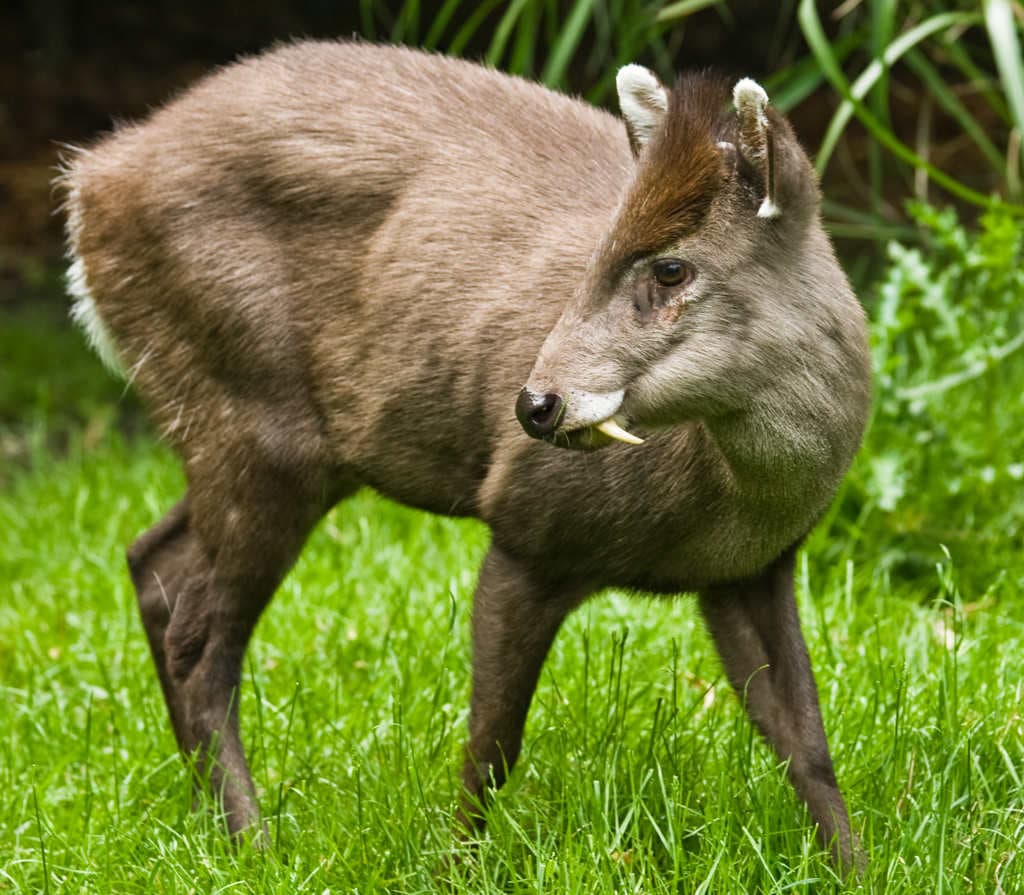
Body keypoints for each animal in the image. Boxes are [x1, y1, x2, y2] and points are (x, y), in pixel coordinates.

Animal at [60, 41, 871, 870]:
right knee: (199, 637)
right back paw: (256, 843)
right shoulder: (528, 526)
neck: (728, 502)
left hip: (260, 442)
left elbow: (806, 741)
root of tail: (92, 181)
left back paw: (207, 819)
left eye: (671, 267)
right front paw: (456, 864)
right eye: (598, 254)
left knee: (153, 560)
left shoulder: (752, 569)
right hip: (251, 419)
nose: (535, 403)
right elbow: (493, 742)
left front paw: (854, 866)